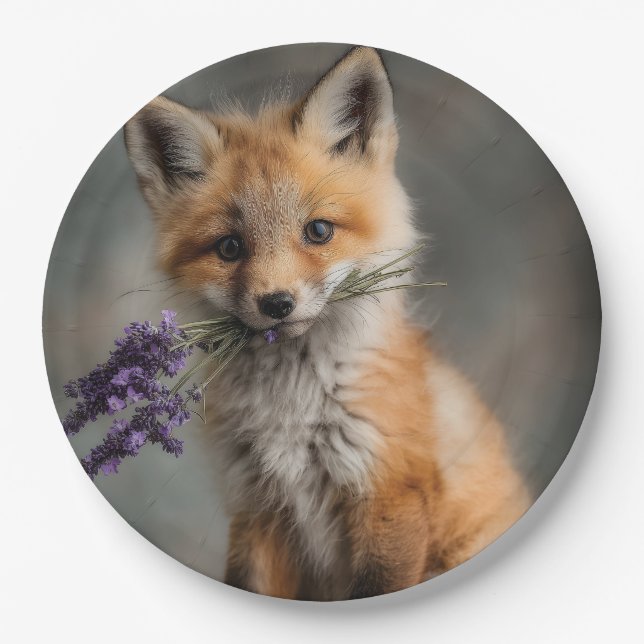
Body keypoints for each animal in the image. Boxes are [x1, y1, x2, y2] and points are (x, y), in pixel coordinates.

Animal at [124, 46, 531, 600]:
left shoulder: (389, 500)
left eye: (318, 231)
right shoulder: (258, 508)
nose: (276, 304)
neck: (292, 413)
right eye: (229, 248)